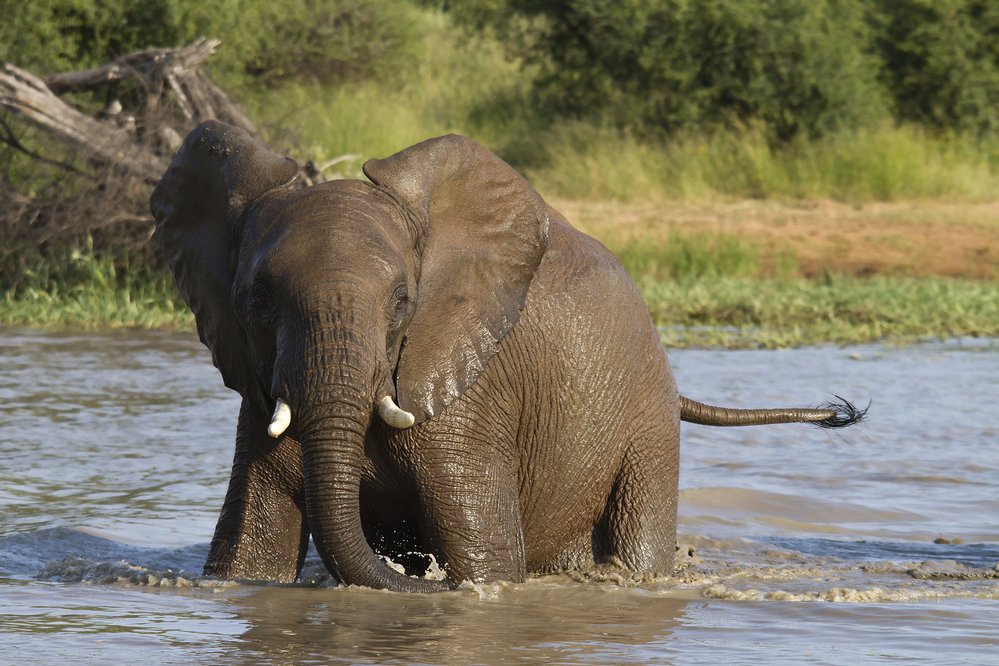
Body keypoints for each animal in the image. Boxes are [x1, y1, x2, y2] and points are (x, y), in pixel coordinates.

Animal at [150, 120, 868, 592]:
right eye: (257, 300)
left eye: (404, 302)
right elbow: (248, 558)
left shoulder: (474, 398)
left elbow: (485, 559)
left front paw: (465, 588)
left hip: (648, 419)